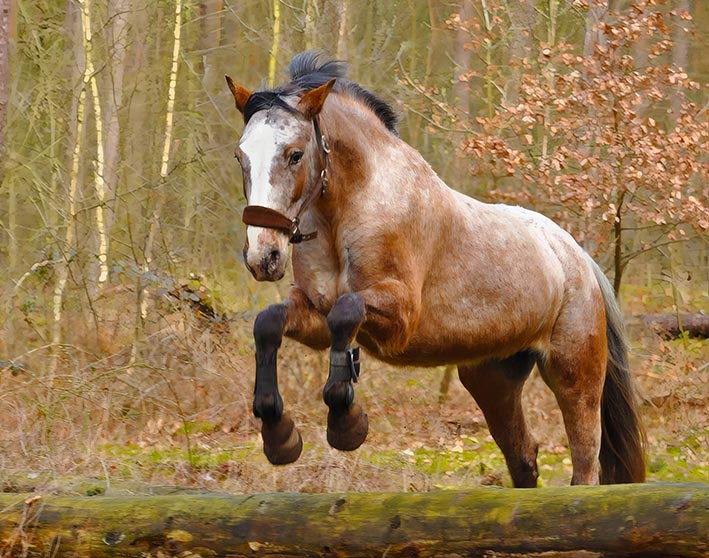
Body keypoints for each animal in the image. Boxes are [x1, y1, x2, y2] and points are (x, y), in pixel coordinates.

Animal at [225, 51, 645, 487]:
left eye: (294, 154)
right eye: (241, 157)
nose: (263, 257)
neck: (350, 208)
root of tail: (577, 257)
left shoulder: (400, 318)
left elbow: (347, 312)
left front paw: (346, 424)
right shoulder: (315, 314)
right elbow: (268, 323)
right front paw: (279, 436)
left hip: (575, 375)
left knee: (585, 463)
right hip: (491, 379)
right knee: (524, 457)